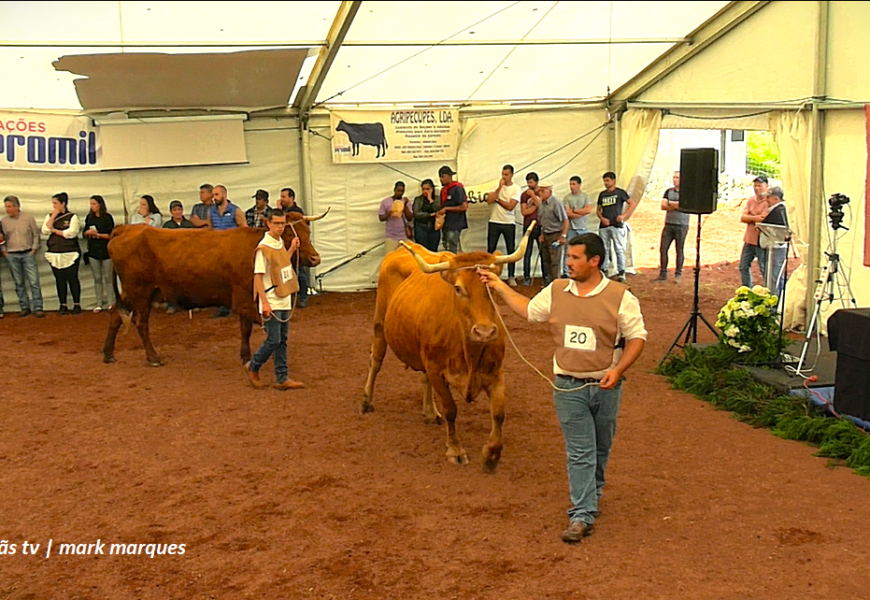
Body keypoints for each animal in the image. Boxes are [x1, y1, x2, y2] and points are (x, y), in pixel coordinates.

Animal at [362, 223, 540, 472]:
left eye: (493, 286)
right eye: (458, 288)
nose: (484, 332)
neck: (469, 353)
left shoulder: (496, 372)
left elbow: (499, 413)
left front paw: (491, 454)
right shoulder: (437, 370)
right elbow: (451, 410)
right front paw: (455, 449)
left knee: (422, 378)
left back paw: (429, 412)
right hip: (380, 324)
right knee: (375, 361)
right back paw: (367, 400)